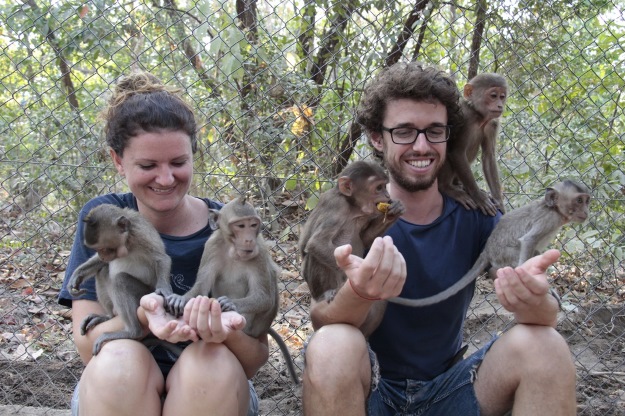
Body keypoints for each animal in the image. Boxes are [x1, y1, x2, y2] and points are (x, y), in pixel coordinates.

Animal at [67, 204, 173, 354]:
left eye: (105, 248)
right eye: (97, 249)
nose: (103, 256)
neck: (127, 243)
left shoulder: (141, 235)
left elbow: (161, 259)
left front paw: (163, 289)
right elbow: (100, 264)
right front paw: (77, 275)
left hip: (144, 292)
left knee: (120, 280)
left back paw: (132, 332)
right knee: (103, 271)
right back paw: (108, 316)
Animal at [165, 197, 298, 384]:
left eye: (253, 225)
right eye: (240, 226)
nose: (249, 240)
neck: (232, 250)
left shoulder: (259, 251)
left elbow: (265, 297)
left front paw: (229, 304)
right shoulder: (212, 245)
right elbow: (202, 285)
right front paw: (181, 299)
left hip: (253, 326)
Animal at [298, 160, 404, 338]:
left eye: (385, 186)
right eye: (378, 187)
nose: (388, 196)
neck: (353, 207)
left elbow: (365, 238)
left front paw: (393, 211)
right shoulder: (336, 206)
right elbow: (316, 243)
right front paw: (353, 275)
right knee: (314, 256)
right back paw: (325, 293)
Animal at [390, 180, 588, 308]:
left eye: (586, 201)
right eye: (579, 200)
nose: (586, 211)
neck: (556, 211)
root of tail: (487, 250)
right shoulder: (548, 219)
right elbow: (528, 241)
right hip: (504, 255)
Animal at [436, 73, 510, 218]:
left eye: (502, 96)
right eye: (493, 95)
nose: (499, 105)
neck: (478, 116)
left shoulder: (492, 123)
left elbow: (488, 156)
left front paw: (498, 200)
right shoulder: (465, 118)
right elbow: (457, 152)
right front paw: (479, 197)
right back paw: (445, 187)